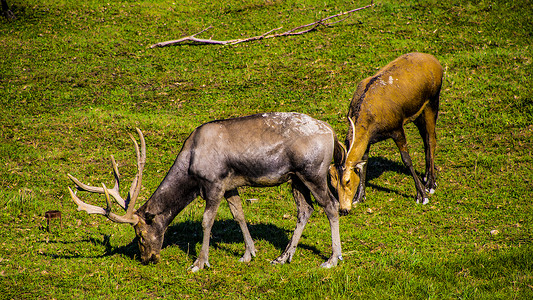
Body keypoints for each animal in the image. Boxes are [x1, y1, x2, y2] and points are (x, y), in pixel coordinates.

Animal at [66, 112, 342, 272]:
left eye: (141, 235)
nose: (148, 258)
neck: (191, 165)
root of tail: (332, 133)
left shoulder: (214, 183)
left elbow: (207, 220)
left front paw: (199, 263)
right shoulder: (231, 185)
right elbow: (239, 215)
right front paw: (249, 254)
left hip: (313, 172)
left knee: (331, 206)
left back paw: (332, 258)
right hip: (295, 178)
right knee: (305, 210)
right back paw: (283, 257)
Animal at [330, 53, 442, 213]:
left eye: (347, 180)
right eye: (333, 182)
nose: (344, 209)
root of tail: (435, 61)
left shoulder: (397, 127)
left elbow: (406, 159)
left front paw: (421, 196)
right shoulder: (369, 140)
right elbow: (364, 162)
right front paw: (360, 197)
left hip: (432, 101)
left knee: (431, 139)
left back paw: (431, 184)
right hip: (417, 114)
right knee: (426, 138)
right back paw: (426, 177)